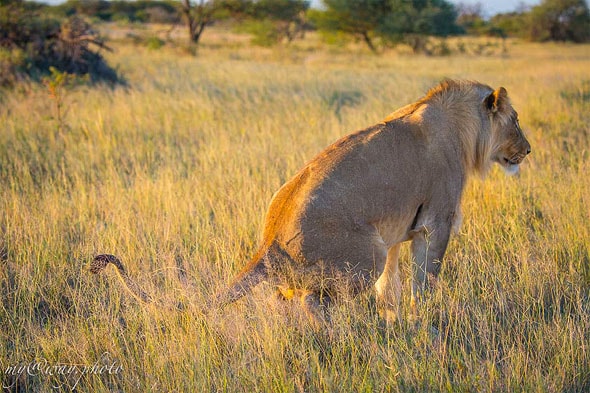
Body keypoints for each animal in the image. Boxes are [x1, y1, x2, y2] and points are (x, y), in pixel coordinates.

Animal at [91, 79, 532, 324]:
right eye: (515, 121)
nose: (527, 150)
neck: (465, 130)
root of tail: (268, 244)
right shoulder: (435, 224)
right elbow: (425, 282)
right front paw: (425, 321)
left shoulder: (395, 233)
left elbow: (390, 286)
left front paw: (393, 320)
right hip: (366, 253)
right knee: (310, 302)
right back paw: (338, 334)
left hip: (367, 248)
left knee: (290, 299)